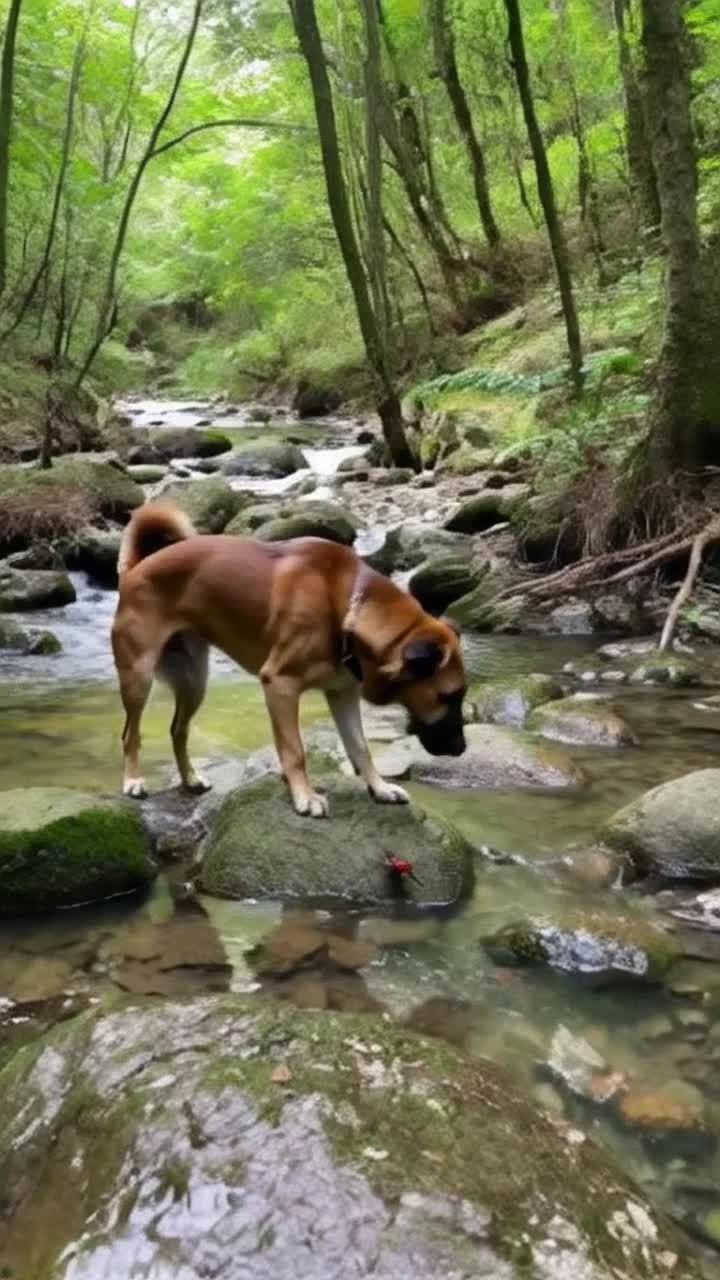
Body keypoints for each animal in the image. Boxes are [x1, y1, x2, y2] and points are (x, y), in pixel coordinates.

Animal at [110, 501, 466, 819]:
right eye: (449, 696)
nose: (462, 749)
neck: (348, 605)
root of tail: (136, 569)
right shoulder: (280, 685)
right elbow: (295, 751)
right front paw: (305, 797)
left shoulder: (342, 694)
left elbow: (360, 747)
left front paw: (379, 788)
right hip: (138, 676)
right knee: (130, 734)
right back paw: (132, 780)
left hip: (194, 681)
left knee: (178, 730)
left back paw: (190, 778)